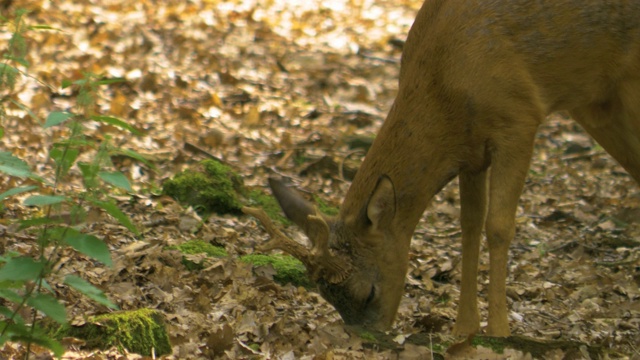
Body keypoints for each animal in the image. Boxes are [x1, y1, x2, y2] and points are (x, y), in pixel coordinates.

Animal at [244, 0, 640, 338]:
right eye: (328, 298)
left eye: (369, 292)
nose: (368, 339)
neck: (445, 84)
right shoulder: (471, 153)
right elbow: (469, 226)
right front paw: (464, 329)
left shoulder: (518, 120)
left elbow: (498, 226)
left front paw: (499, 331)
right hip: (598, 104)